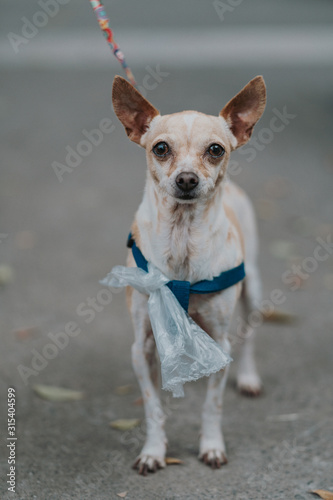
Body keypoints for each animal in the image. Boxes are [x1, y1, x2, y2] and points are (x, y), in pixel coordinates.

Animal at [113, 75, 266, 476]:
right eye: (161, 148)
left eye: (215, 150)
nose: (186, 179)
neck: (182, 241)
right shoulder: (141, 348)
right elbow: (153, 408)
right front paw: (153, 451)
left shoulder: (221, 343)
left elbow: (212, 406)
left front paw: (212, 446)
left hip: (253, 291)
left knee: (249, 338)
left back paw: (249, 377)